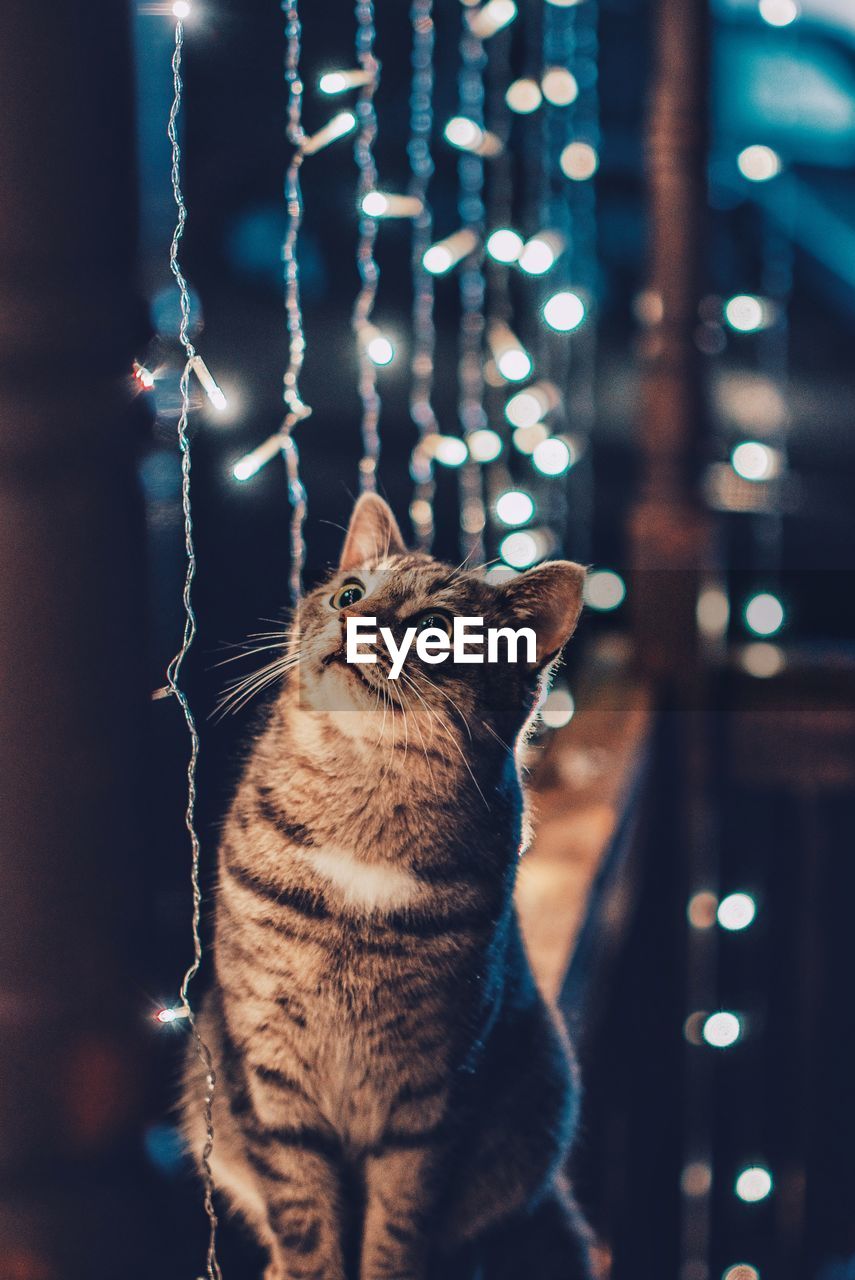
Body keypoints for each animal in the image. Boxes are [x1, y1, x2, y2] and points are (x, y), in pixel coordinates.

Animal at [181, 491, 593, 1280]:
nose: (357, 619)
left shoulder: (431, 1091)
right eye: (349, 593)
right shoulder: (270, 1073)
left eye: (435, 628)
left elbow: (397, 1228)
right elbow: (304, 1222)